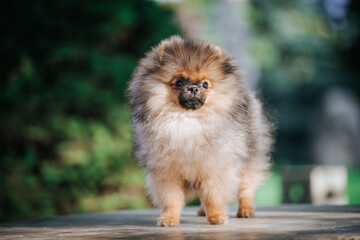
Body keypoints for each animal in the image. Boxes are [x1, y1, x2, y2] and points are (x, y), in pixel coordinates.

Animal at [129, 36, 272, 227]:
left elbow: (213, 196)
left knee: (246, 188)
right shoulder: (166, 173)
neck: (189, 120)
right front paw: (169, 218)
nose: (193, 88)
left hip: (250, 158)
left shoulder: (215, 168)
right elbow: (171, 199)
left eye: (205, 84)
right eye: (179, 82)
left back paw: (245, 210)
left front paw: (217, 216)